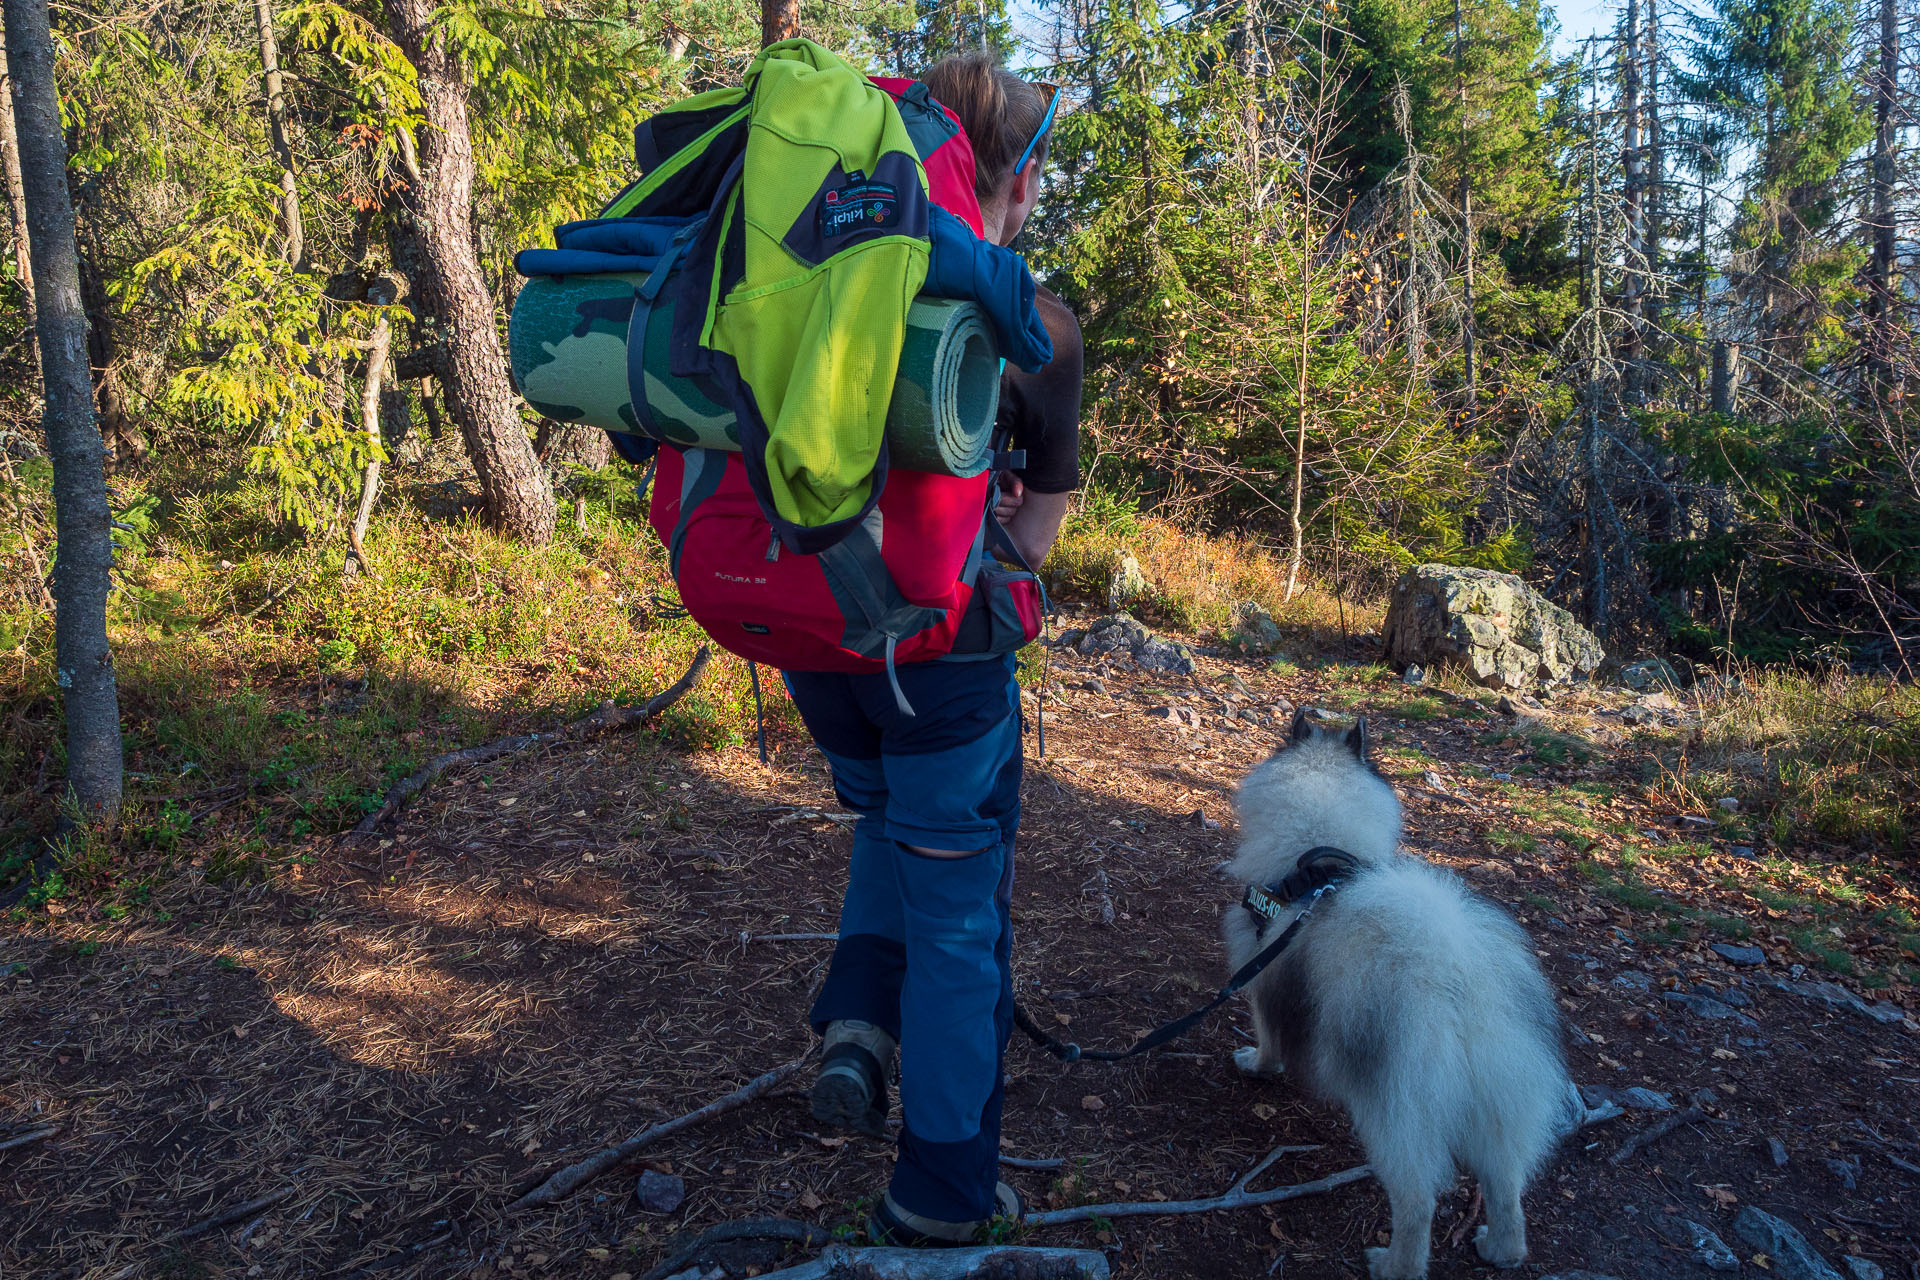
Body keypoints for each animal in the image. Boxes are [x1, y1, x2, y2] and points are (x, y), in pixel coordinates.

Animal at [1221, 710, 1566, 1280]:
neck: (1318, 843)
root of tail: (1454, 975)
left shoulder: (1262, 976)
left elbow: (1268, 1039)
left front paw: (1256, 1065)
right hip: (1498, 1099)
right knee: (1506, 1182)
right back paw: (1501, 1248)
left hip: (1397, 1110)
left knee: (1417, 1199)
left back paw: (1394, 1264)